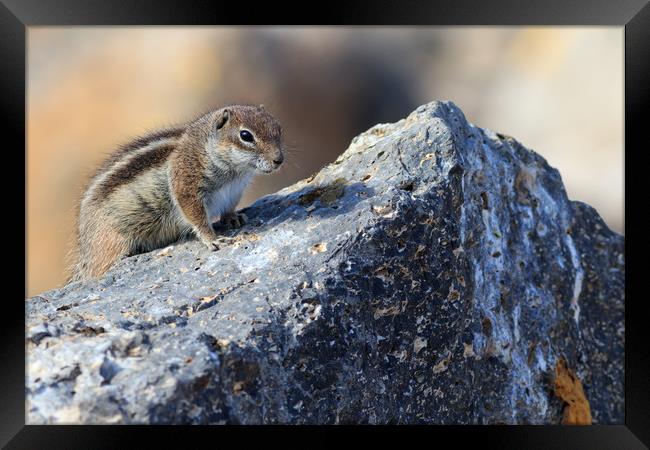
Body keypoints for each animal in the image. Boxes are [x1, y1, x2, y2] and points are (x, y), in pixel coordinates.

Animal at [68, 104, 284, 282]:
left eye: (279, 128)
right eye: (246, 136)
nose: (279, 160)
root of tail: (85, 249)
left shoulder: (234, 192)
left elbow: (228, 209)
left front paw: (233, 218)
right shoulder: (186, 184)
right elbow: (196, 217)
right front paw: (213, 240)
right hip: (111, 241)